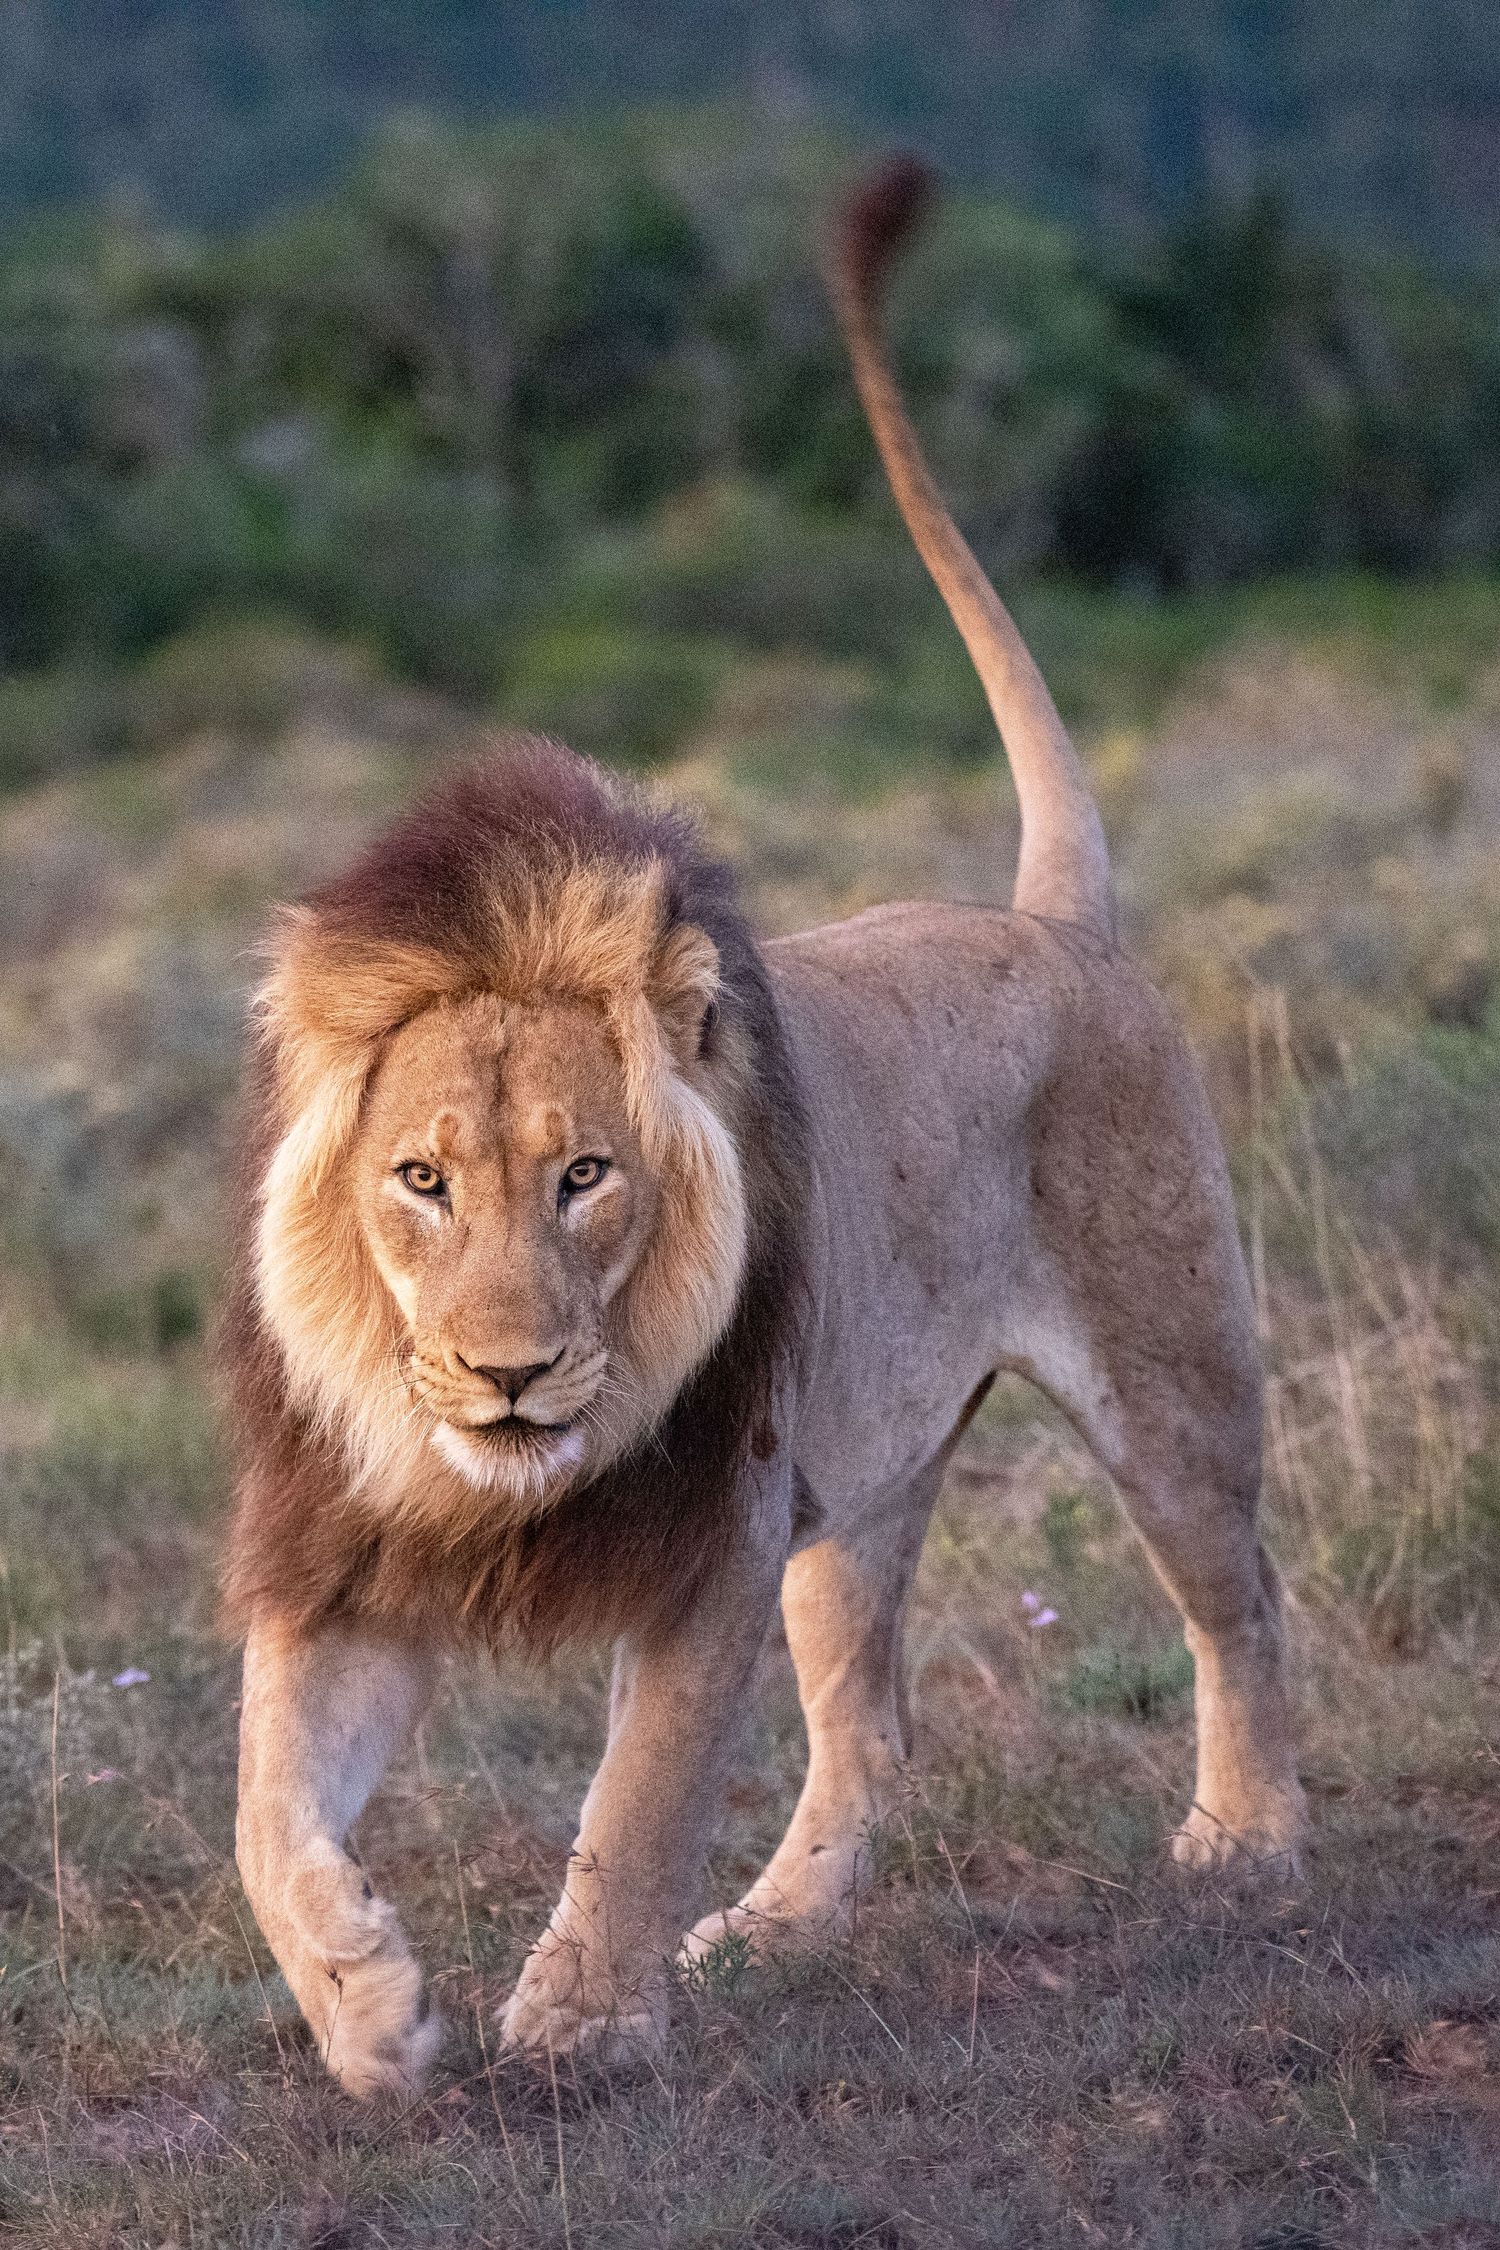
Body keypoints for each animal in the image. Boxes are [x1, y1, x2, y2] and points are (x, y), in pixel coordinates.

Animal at [225, 158, 1305, 2099]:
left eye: (585, 1176)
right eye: (420, 1182)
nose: (506, 1375)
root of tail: (1055, 921)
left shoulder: (709, 1546)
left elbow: (637, 1804)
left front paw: (578, 2024)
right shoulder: (350, 1554)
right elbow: (271, 1815)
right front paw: (373, 2013)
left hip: (1170, 1383)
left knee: (1239, 1597)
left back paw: (1249, 1842)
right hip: (862, 1481)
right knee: (872, 1732)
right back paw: (780, 1930)